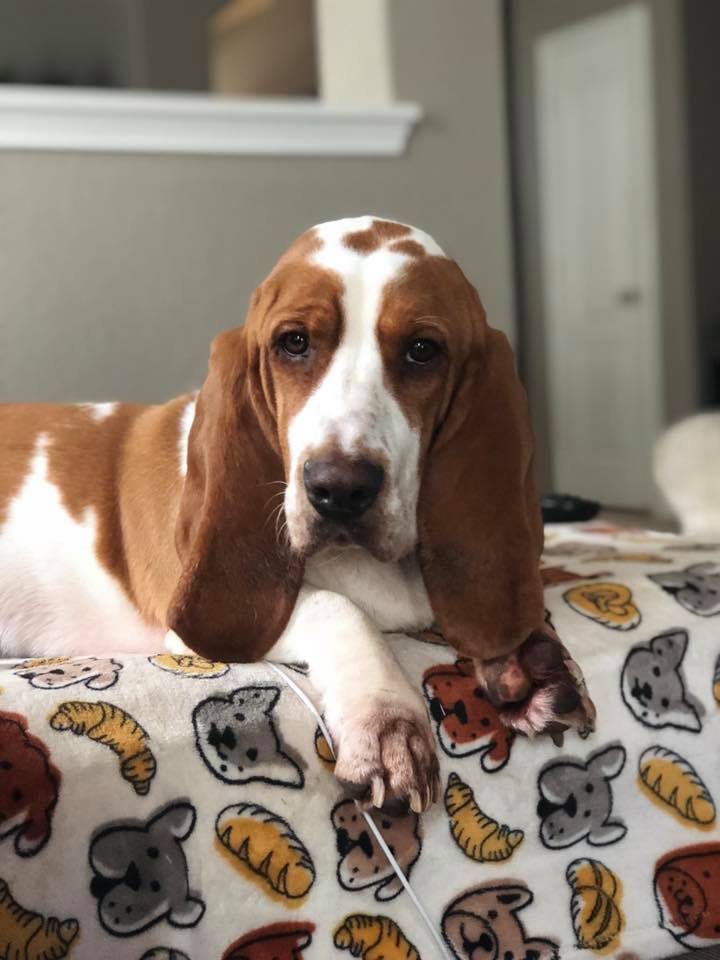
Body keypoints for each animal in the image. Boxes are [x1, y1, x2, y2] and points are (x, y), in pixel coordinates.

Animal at [0, 218, 596, 808]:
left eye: (422, 350)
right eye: (294, 342)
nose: (339, 489)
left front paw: (529, 658)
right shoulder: (188, 631)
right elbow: (336, 607)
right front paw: (386, 719)